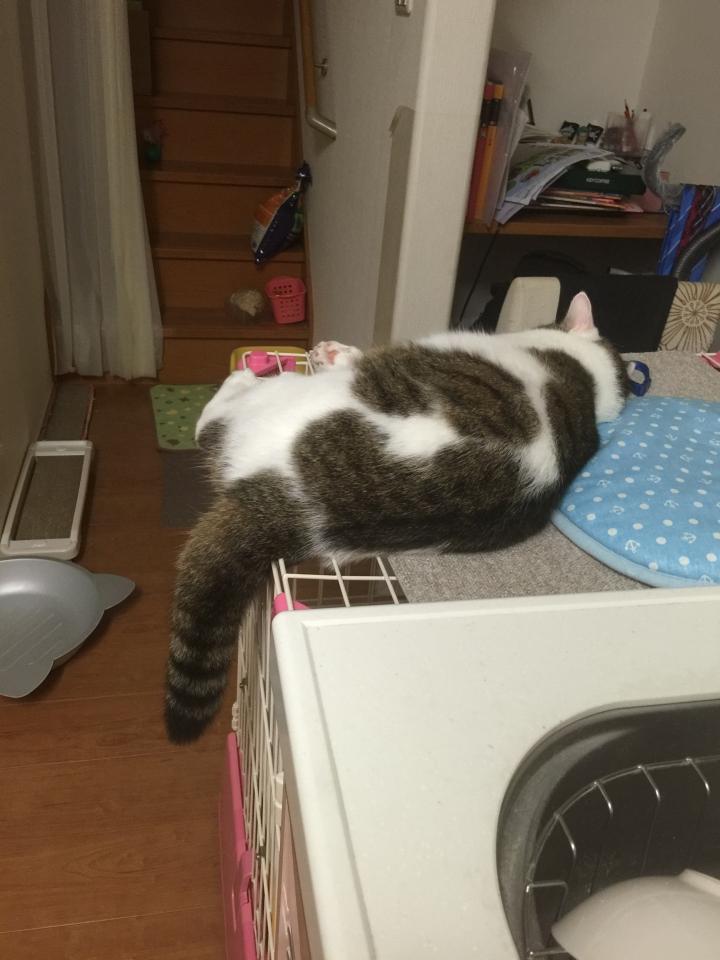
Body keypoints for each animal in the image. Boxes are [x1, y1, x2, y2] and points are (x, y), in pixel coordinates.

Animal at [165, 292, 628, 742]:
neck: (587, 384)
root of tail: (290, 509)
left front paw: (335, 353)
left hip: (276, 395)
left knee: (209, 426)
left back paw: (240, 379)